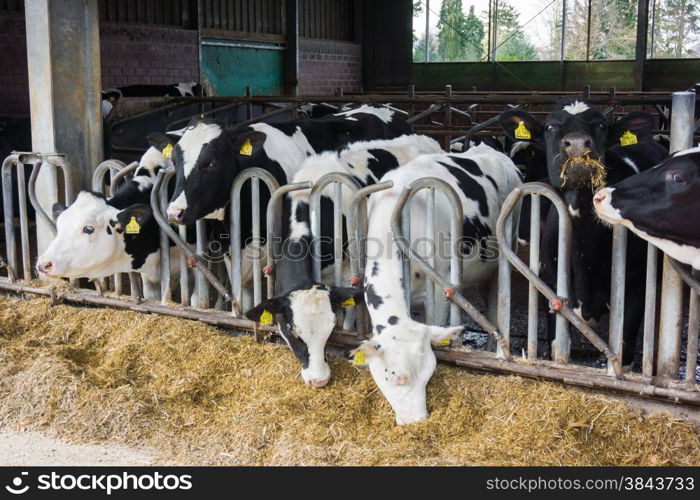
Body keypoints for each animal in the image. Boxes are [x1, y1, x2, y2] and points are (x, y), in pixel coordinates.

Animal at [352, 143, 524, 424]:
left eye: (428, 374)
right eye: (395, 377)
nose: (417, 420)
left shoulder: (439, 291)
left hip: (505, 251)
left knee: (495, 304)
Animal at [500, 101, 668, 366]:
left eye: (601, 125)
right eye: (549, 127)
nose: (578, 144)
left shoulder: (635, 290)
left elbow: (623, 353)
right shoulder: (552, 288)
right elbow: (558, 348)